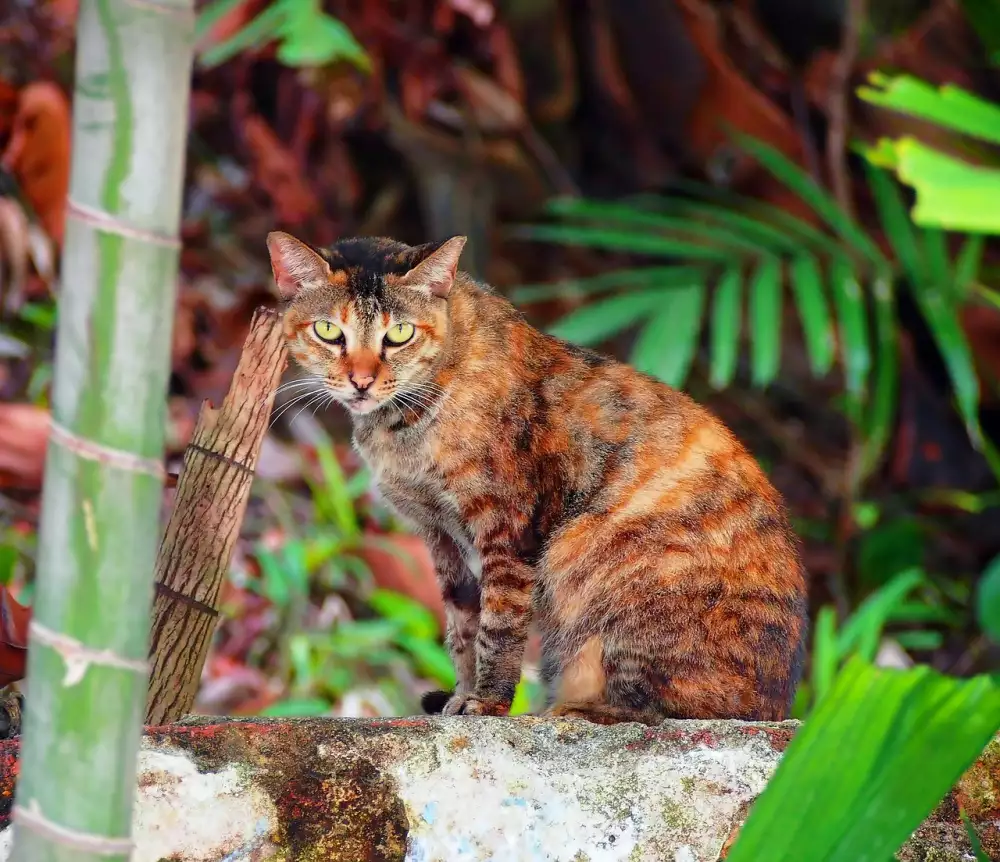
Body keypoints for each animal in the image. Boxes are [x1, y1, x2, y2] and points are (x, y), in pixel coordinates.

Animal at [270, 230, 808, 724]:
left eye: (400, 334)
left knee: (662, 710)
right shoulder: (439, 536)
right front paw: (461, 696)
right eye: (327, 330)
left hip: (587, 561)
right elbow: (462, 628)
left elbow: (498, 628)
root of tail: (775, 707)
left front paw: (486, 703)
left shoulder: (507, 530)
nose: (361, 380)